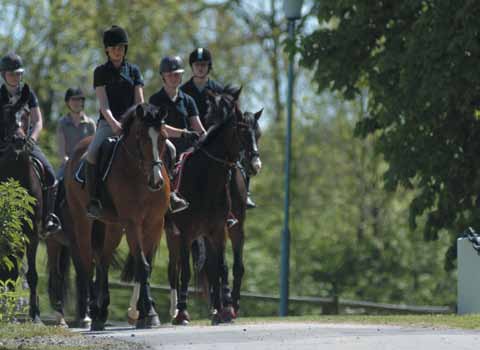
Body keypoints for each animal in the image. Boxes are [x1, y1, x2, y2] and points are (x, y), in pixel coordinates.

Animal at [64, 102, 171, 330]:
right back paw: (93, 312)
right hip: (83, 222)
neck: (140, 176)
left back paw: (101, 311)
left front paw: (145, 312)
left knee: (103, 260)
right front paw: (149, 313)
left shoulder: (155, 223)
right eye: (141, 136)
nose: (156, 181)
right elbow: (142, 264)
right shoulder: (132, 223)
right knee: (87, 262)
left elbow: (146, 265)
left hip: (112, 226)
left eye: (163, 137)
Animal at [165, 85, 248, 326]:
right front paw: (182, 313)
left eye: (254, 132)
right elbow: (185, 272)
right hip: (169, 233)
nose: (249, 160)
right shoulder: (185, 233)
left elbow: (219, 268)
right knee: (172, 269)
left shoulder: (218, 230)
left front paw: (224, 310)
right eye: (242, 131)